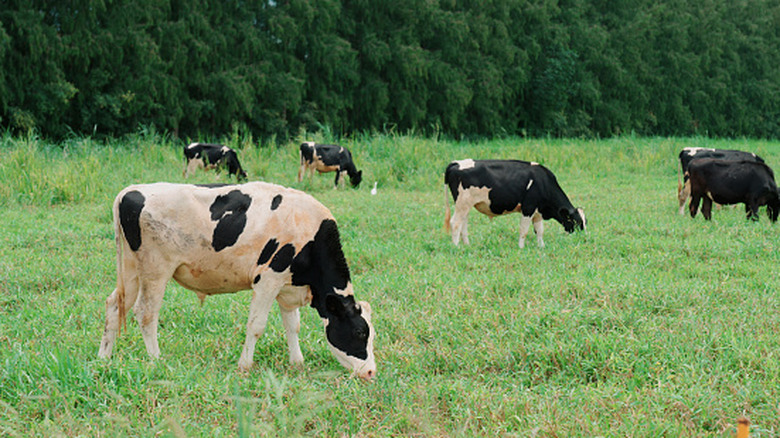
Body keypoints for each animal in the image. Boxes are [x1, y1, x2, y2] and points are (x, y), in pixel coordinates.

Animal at [98, 182, 376, 379]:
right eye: (360, 332)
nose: (371, 372)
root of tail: (131, 190)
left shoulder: (287, 287)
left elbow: (292, 326)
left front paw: (297, 363)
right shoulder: (268, 280)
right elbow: (256, 325)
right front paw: (245, 365)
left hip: (131, 269)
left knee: (114, 304)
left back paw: (104, 358)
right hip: (155, 269)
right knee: (146, 312)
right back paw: (156, 360)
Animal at [444, 159, 586, 248]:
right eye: (577, 221)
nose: (583, 238)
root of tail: (456, 163)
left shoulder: (538, 211)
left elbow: (539, 230)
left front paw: (541, 246)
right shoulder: (528, 207)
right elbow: (524, 230)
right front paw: (521, 247)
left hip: (465, 205)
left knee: (463, 224)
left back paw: (467, 245)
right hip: (462, 203)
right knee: (455, 223)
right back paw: (456, 247)